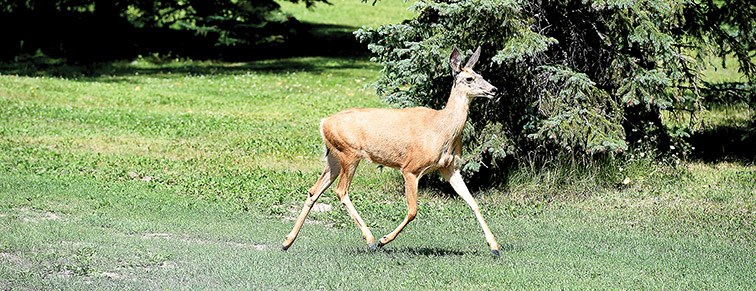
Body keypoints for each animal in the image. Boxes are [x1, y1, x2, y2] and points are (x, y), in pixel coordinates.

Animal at [280, 46, 500, 256]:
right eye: (469, 78)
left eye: (481, 74)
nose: (494, 89)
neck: (442, 129)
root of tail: (323, 122)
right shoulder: (411, 168)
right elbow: (413, 210)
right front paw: (383, 240)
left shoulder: (450, 168)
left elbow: (473, 202)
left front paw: (494, 247)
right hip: (349, 153)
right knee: (341, 190)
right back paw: (370, 240)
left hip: (334, 157)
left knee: (314, 190)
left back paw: (287, 242)